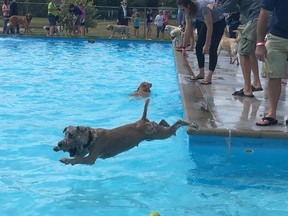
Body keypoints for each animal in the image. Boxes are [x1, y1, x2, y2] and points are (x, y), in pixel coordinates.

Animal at [53, 98, 198, 166]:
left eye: (71, 135)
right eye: (65, 134)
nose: (59, 144)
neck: (91, 136)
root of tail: (142, 120)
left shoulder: (90, 158)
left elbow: (79, 160)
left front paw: (66, 160)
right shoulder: (85, 151)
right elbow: (78, 156)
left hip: (160, 135)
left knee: (177, 122)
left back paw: (192, 124)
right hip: (155, 133)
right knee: (163, 123)